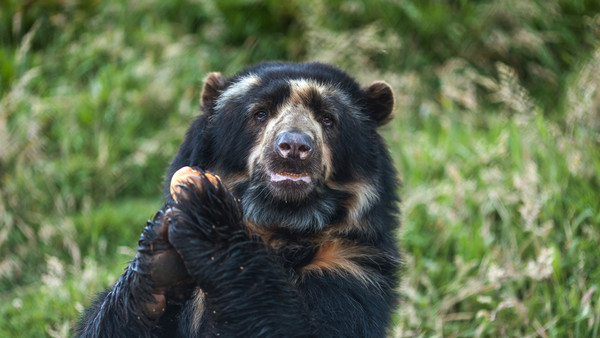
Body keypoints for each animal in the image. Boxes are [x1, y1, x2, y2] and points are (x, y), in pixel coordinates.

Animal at [77, 62, 400, 336]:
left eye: (328, 119)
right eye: (260, 114)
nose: (294, 147)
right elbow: (102, 326)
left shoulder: (351, 266)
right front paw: (160, 258)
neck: (280, 224)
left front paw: (207, 211)